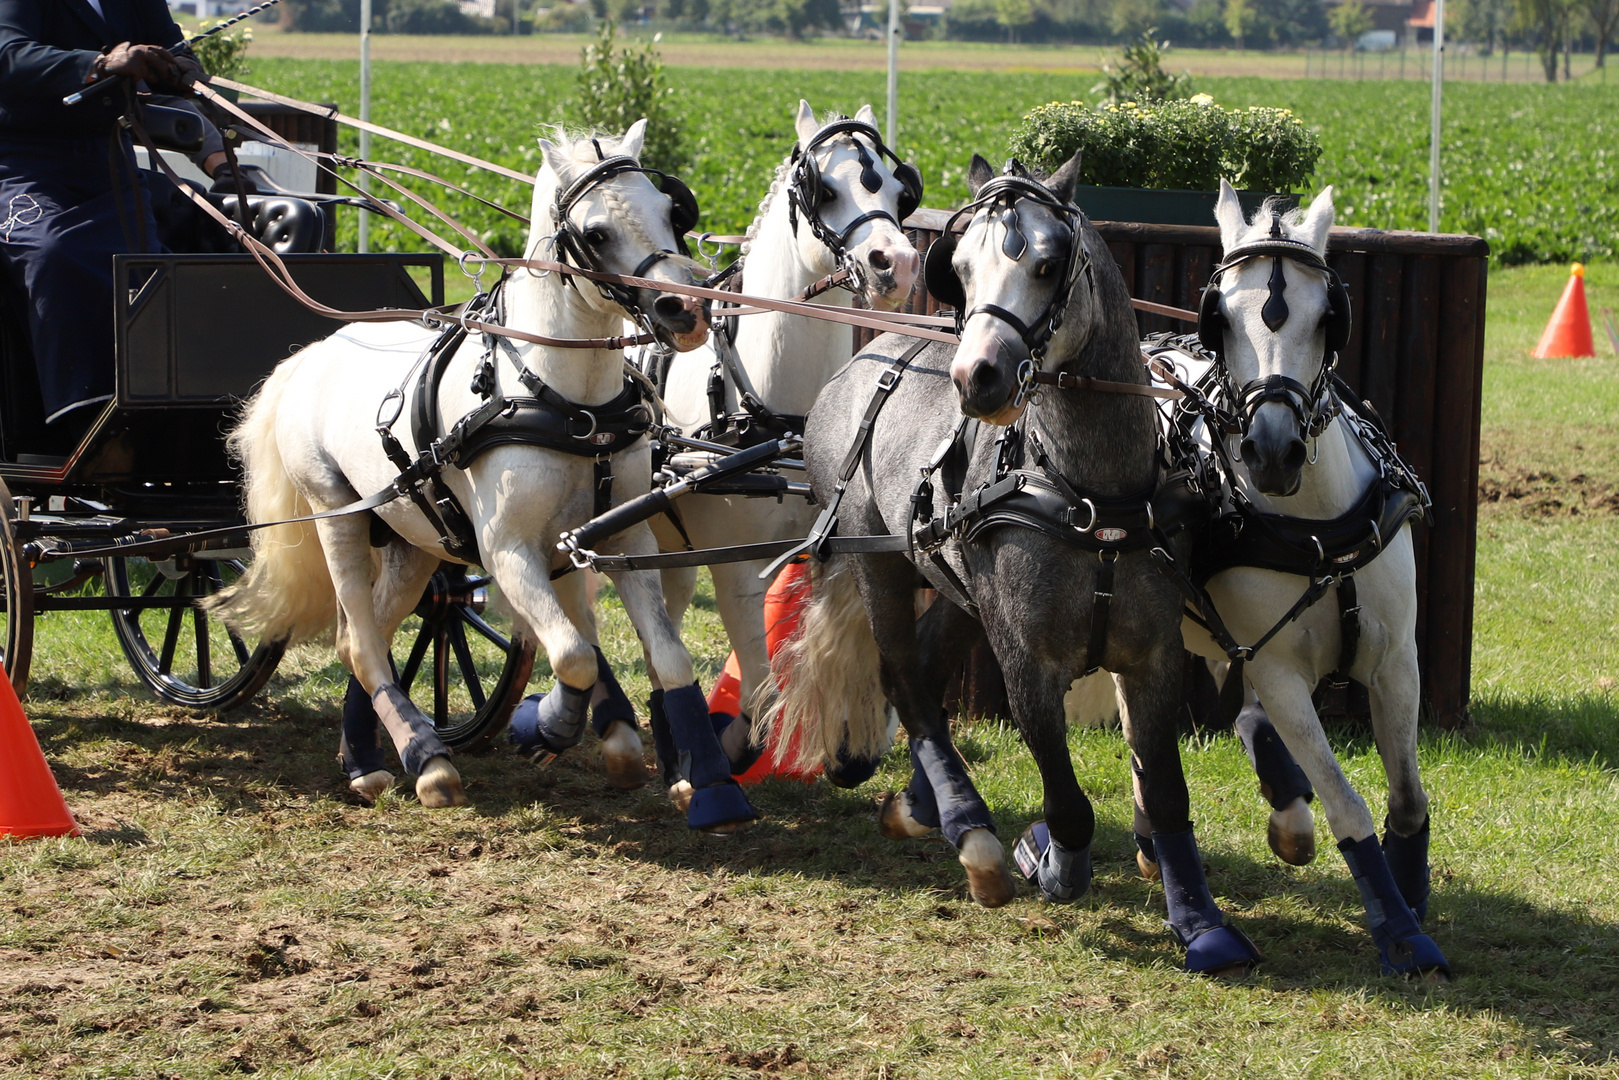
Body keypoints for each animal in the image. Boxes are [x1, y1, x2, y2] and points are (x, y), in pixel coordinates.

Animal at [212, 122, 760, 835]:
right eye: (596, 233)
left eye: (672, 212)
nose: (684, 311)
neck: (564, 400)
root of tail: (308, 357)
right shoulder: (506, 550)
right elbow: (573, 652)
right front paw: (547, 727)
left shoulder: (620, 541)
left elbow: (663, 656)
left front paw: (710, 783)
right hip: (337, 516)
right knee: (362, 643)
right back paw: (426, 762)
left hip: (416, 539)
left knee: (364, 637)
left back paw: (366, 757)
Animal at [650, 103, 919, 767]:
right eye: (825, 191)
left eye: (899, 190)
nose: (897, 264)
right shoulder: (736, 566)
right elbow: (757, 670)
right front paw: (737, 742)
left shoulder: (831, 545)